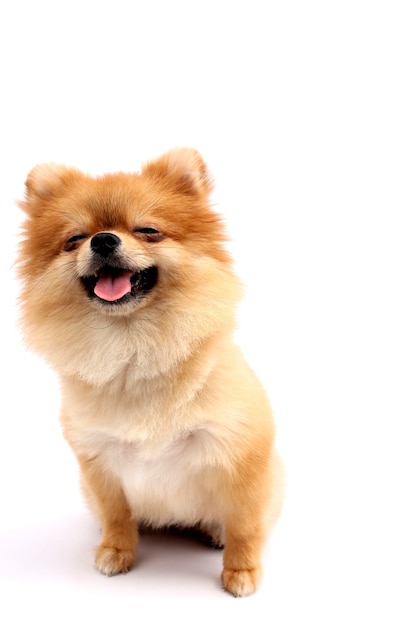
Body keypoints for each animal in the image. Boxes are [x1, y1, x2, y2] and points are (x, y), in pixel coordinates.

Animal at [16, 146, 282, 596]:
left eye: (147, 231)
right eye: (75, 239)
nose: (104, 239)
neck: (133, 347)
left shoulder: (240, 454)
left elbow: (246, 524)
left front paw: (241, 571)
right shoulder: (98, 462)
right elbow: (116, 514)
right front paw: (116, 549)